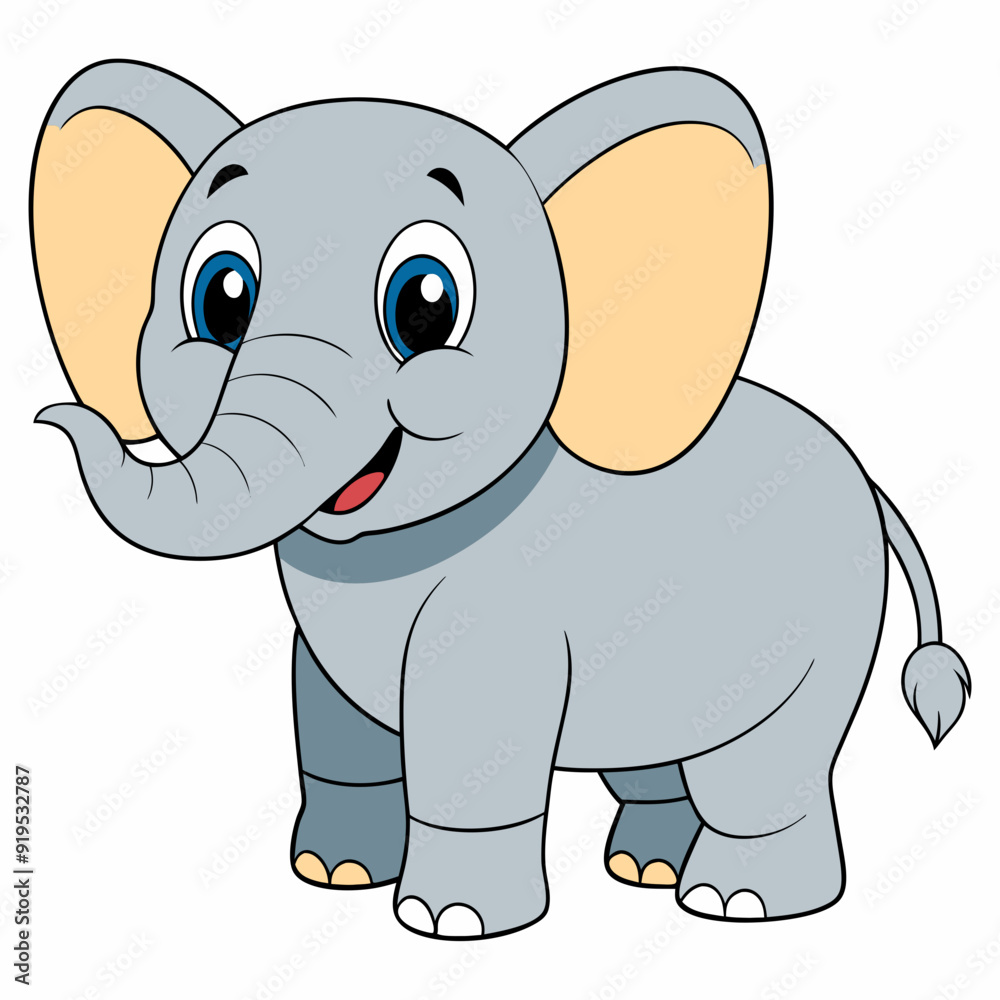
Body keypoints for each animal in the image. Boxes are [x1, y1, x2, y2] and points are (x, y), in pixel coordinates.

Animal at [31, 60, 972, 940]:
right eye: (220, 298)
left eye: (426, 304)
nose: (51, 418)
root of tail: (870, 480)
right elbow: (332, 719)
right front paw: (333, 874)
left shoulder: (498, 618)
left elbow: (469, 744)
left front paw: (450, 922)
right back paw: (645, 870)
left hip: (821, 630)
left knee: (759, 771)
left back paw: (735, 900)